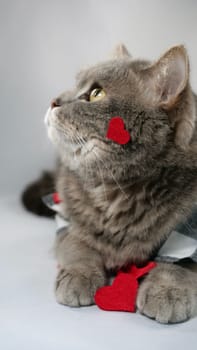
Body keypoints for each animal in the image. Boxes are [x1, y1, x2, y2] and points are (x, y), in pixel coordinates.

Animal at [23, 43, 197, 322]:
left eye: (96, 94)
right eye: (75, 85)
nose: (53, 101)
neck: (115, 191)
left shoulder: (190, 228)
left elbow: (181, 264)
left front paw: (167, 291)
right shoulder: (67, 219)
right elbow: (78, 245)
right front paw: (78, 276)